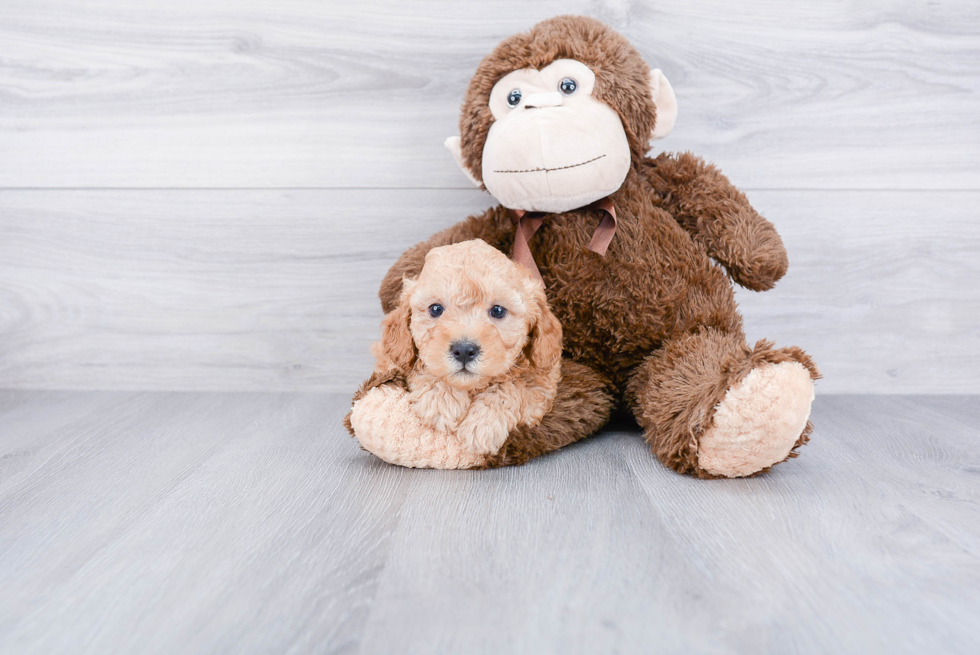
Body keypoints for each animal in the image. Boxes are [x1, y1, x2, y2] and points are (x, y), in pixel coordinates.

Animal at [346, 238, 560, 468]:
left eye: (498, 311)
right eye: (435, 309)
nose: (464, 350)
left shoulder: (542, 383)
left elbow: (514, 386)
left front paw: (483, 423)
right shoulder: (393, 363)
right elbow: (425, 368)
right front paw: (441, 399)